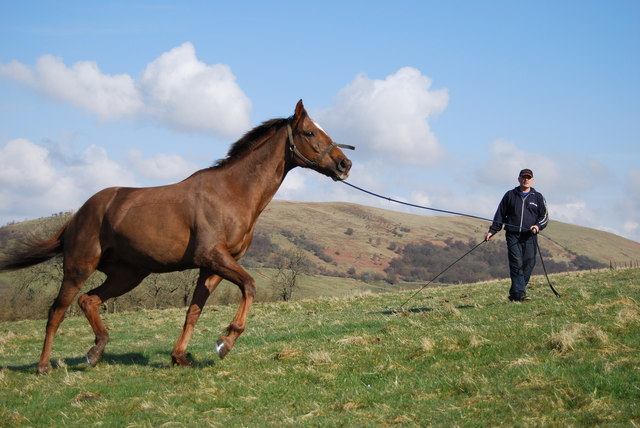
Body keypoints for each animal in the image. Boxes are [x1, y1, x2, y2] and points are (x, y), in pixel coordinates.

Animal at [0, 100, 352, 374]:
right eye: (310, 132)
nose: (344, 163)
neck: (231, 193)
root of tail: (77, 215)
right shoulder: (214, 257)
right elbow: (250, 287)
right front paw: (225, 342)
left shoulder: (213, 266)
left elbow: (193, 311)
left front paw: (180, 357)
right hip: (78, 267)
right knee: (57, 311)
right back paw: (44, 366)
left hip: (128, 274)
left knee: (89, 301)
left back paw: (96, 351)